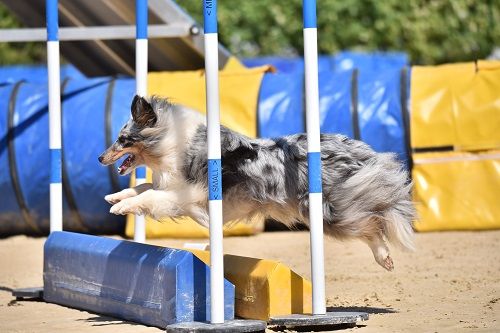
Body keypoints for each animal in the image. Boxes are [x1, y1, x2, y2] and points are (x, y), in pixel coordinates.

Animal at [97, 94, 414, 268]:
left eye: (122, 139)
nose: (99, 158)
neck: (170, 142)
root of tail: (358, 148)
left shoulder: (189, 194)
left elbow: (150, 196)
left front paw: (119, 208)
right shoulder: (175, 188)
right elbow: (142, 187)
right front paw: (116, 198)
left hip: (329, 210)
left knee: (371, 224)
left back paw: (384, 257)